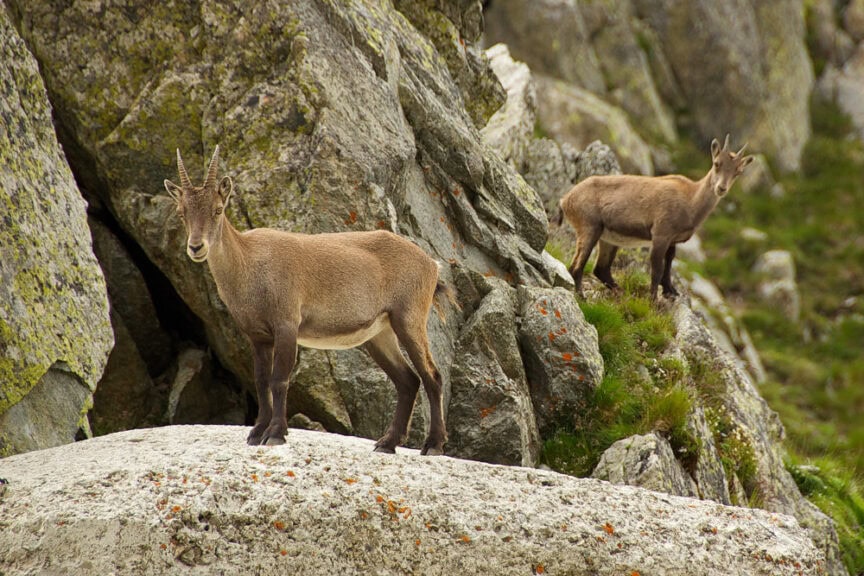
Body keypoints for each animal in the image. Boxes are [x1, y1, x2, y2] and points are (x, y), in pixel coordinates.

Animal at [164, 146, 447, 454]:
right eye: (181, 212)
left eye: (218, 209)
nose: (196, 247)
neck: (249, 264)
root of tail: (431, 264)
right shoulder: (258, 336)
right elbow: (261, 381)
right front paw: (256, 432)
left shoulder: (287, 324)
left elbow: (279, 380)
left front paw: (276, 433)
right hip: (380, 334)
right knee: (408, 380)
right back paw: (387, 443)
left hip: (409, 318)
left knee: (432, 376)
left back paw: (433, 444)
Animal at [557, 135, 753, 299]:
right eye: (717, 163)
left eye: (738, 171)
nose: (721, 188)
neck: (690, 199)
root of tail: (565, 199)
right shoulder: (660, 234)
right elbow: (657, 269)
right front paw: (652, 300)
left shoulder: (672, 240)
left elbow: (669, 262)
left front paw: (670, 291)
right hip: (589, 228)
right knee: (576, 267)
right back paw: (581, 295)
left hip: (609, 239)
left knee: (601, 269)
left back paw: (621, 292)